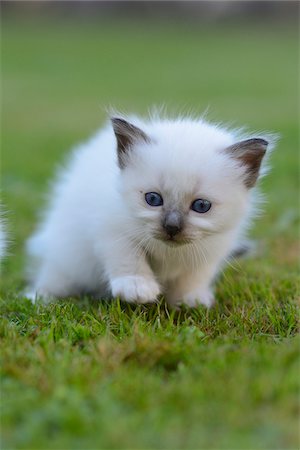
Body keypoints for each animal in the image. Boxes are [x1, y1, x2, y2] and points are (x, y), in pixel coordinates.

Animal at [26, 114, 272, 308]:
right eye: (153, 199)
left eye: (201, 206)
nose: (172, 227)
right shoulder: (111, 229)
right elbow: (129, 256)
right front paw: (137, 288)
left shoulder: (211, 248)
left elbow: (194, 276)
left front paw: (190, 299)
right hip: (66, 256)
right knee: (53, 279)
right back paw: (39, 298)